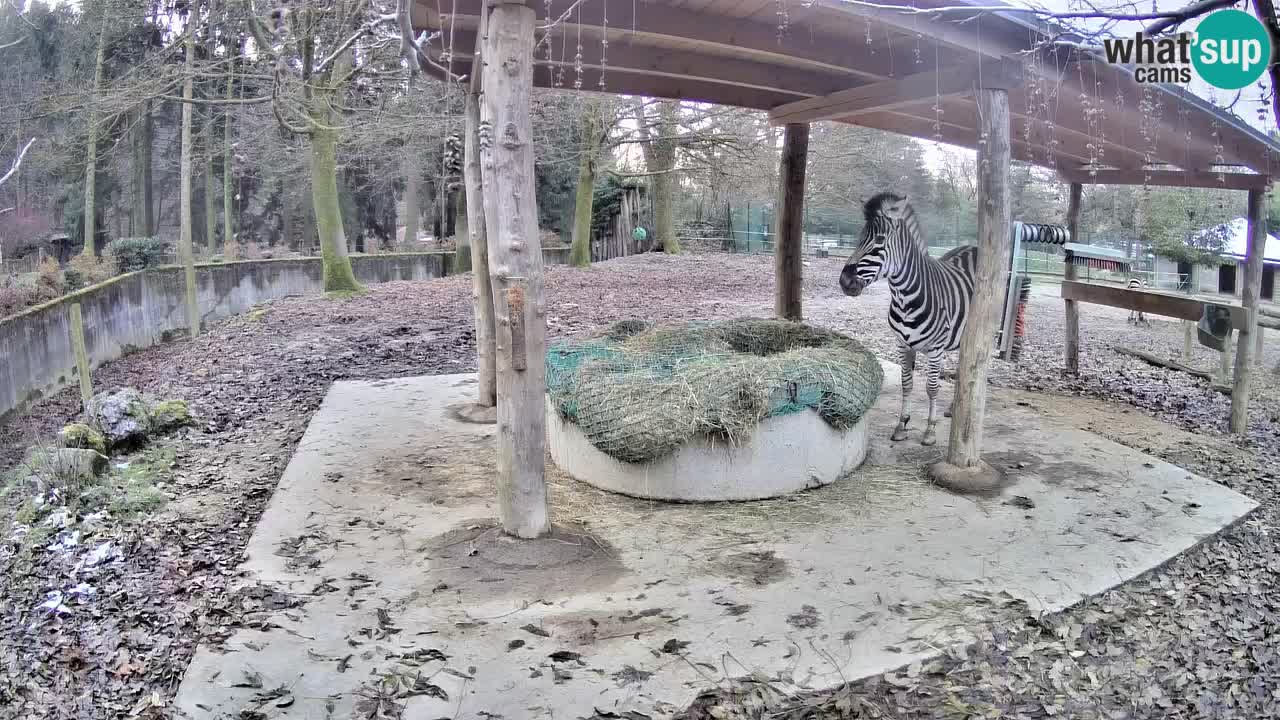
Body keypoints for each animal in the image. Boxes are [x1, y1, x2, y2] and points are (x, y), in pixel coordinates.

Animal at [839, 193, 977, 445]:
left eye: (879, 240)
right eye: (860, 237)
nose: (845, 282)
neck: (905, 298)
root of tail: (973, 246)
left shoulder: (935, 349)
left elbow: (932, 388)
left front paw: (930, 430)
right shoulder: (902, 345)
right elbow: (907, 384)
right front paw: (902, 425)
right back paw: (954, 408)